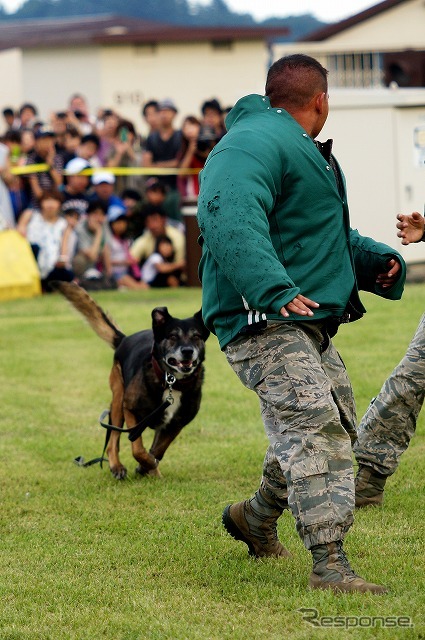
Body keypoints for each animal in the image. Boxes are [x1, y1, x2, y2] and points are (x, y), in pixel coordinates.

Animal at [55, 282, 208, 478]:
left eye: (196, 336)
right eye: (173, 336)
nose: (188, 351)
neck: (170, 381)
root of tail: (125, 339)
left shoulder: (176, 423)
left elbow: (157, 450)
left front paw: (148, 467)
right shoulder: (131, 410)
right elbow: (138, 449)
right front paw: (146, 463)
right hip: (118, 402)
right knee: (112, 441)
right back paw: (117, 466)